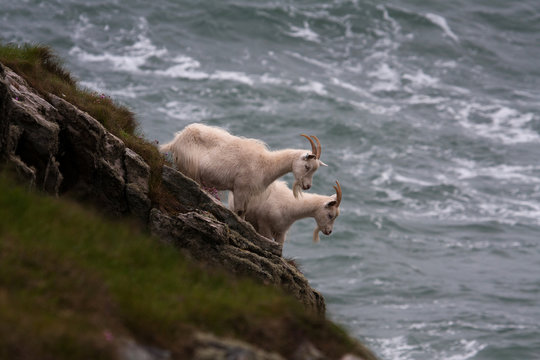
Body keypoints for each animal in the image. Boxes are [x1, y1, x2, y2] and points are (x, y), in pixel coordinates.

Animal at [160, 122, 326, 218]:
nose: (307, 186)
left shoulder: (246, 193)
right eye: (307, 166)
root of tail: (177, 139)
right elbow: (239, 212)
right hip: (189, 168)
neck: (266, 164)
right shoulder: (240, 189)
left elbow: (244, 213)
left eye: (315, 170)